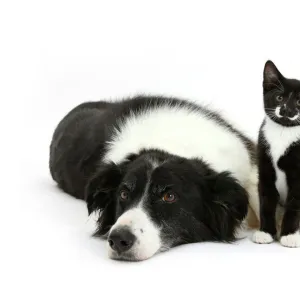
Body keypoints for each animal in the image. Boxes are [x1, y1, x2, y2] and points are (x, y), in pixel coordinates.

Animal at [252, 59, 300, 247]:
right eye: (279, 97)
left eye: (299, 102)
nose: (286, 110)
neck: (283, 131)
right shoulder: (264, 165)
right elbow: (266, 201)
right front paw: (266, 232)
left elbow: (294, 206)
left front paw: (290, 235)